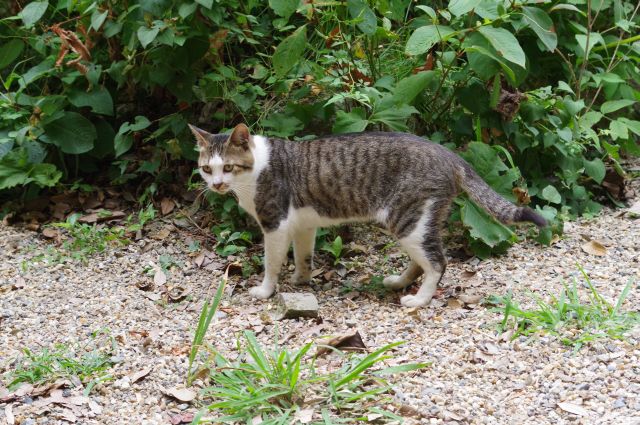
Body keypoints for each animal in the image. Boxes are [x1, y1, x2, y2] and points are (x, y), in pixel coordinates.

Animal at [190, 121, 544, 306]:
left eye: (229, 167)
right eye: (207, 169)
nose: (217, 185)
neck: (254, 172)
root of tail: (451, 156)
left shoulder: (275, 223)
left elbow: (271, 263)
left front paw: (265, 290)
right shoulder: (303, 224)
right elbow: (304, 256)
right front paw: (301, 279)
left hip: (406, 219)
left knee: (437, 262)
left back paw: (419, 300)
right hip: (418, 221)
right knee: (422, 260)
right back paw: (398, 283)